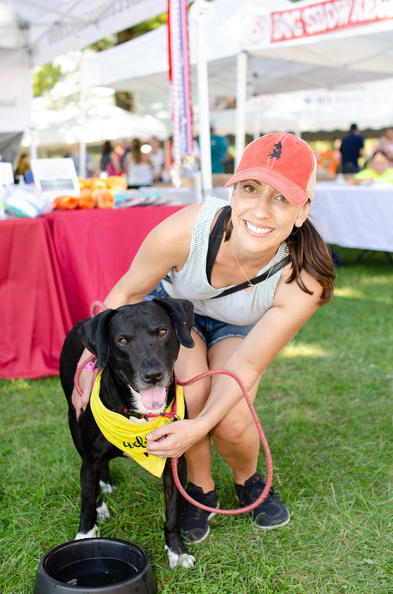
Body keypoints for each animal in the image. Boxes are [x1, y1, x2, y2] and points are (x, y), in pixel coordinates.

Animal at [60, 298, 196, 568]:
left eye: (162, 332)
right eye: (122, 341)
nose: (153, 375)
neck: (139, 418)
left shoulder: (175, 460)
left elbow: (173, 513)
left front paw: (177, 551)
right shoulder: (90, 459)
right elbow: (86, 501)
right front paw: (85, 536)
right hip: (74, 422)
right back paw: (101, 501)